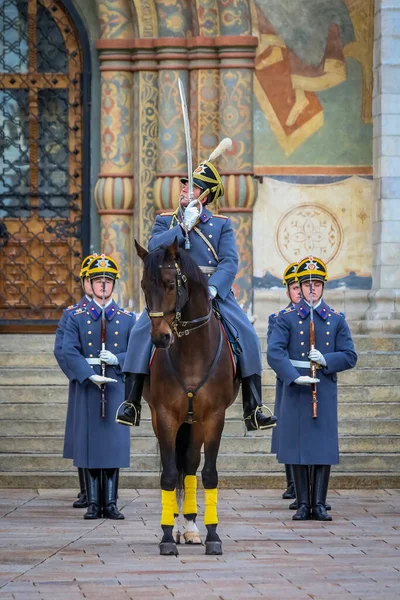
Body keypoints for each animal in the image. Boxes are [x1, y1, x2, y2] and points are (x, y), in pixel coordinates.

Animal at [136, 237, 239, 556]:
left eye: (171, 284)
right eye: (143, 285)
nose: (160, 338)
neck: (191, 350)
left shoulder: (214, 417)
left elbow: (209, 473)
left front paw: (213, 536)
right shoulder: (165, 416)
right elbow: (169, 475)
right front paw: (167, 537)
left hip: (196, 422)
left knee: (192, 463)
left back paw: (192, 528)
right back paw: (179, 525)